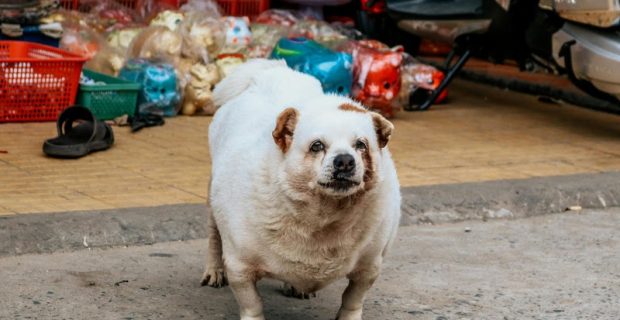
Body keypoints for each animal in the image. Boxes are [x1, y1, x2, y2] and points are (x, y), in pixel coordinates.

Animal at [201, 58, 400, 318]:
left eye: (361, 145)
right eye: (317, 146)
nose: (345, 161)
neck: (324, 216)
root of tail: (268, 72)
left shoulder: (370, 266)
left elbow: (353, 299)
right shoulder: (240, 267)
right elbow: (252, 304)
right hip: (213, 202)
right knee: (214, 236)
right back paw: (214, 270)